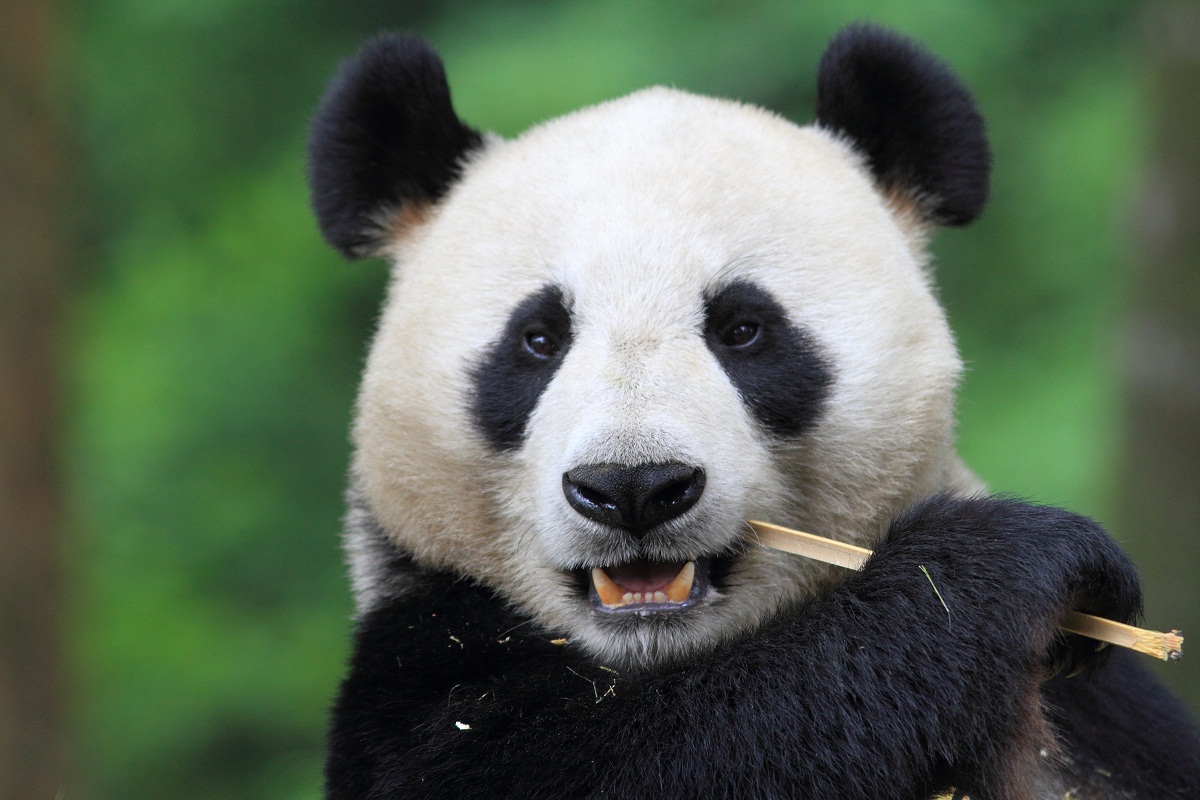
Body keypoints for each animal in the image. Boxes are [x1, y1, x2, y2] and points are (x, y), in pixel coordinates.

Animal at [307, 24, 1200, 799]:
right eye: (537, 338)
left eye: (743, 330)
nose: (634, 488)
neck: (657, 660)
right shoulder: (420, 674)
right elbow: (685, 752)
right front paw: (1008, 563)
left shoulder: (1103, 722)